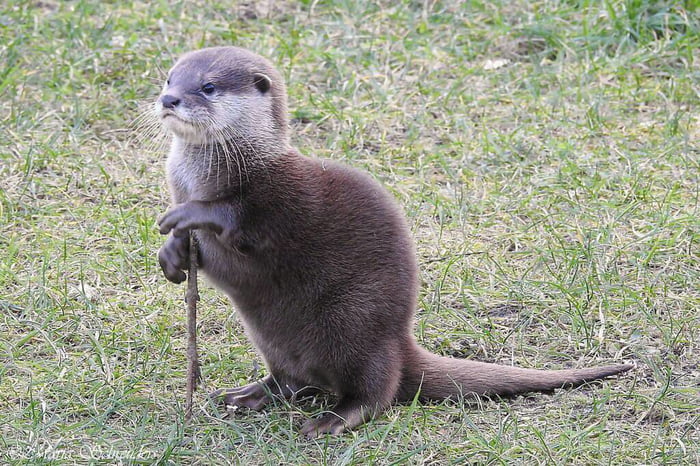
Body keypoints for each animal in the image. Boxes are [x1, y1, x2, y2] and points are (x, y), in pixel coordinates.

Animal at [155, 46, 632, 437]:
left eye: (208, 86)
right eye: (169, 78)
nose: (168, 99)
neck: (210, 173)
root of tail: (400, 344)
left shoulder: (278, 198)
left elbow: (240, 219)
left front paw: (190, 214)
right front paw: (172, 254)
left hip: (355, 321)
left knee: (375, 391)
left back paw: (333, 420)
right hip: (276, 340)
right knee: (292, 380)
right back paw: (246, 395)